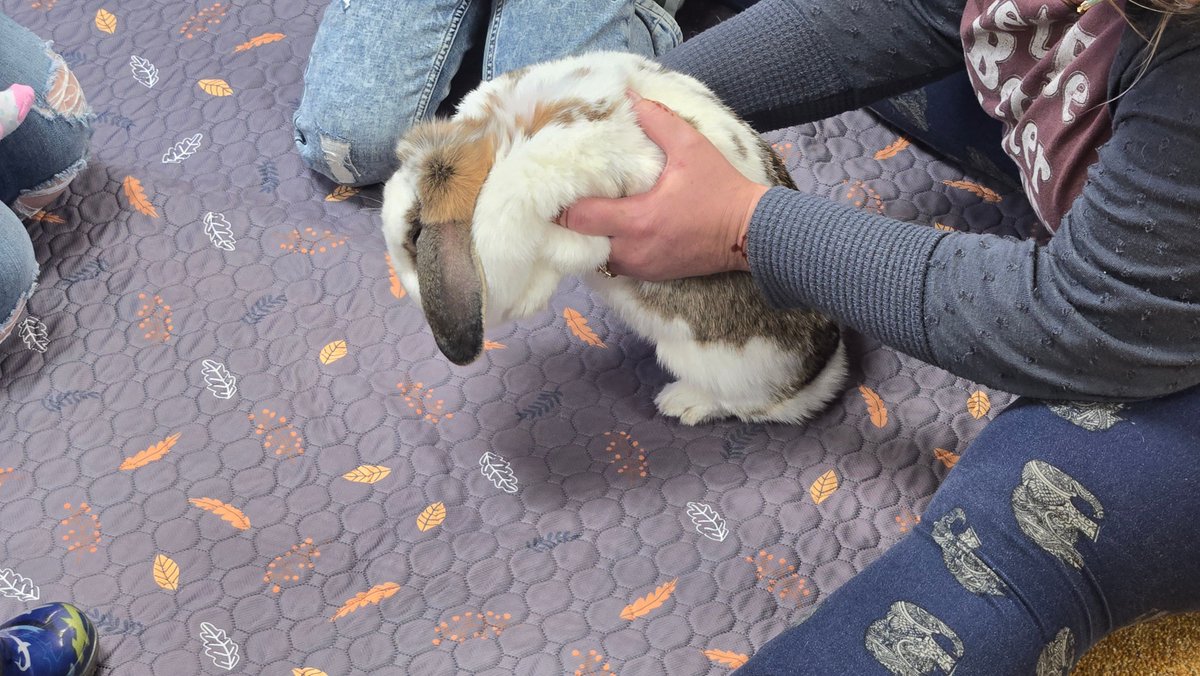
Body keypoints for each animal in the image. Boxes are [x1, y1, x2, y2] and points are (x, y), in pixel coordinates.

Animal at [381, 51, 847, 425]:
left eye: (415, 234)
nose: (411, 294)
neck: (497, 138)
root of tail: (822, 370)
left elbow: (564, 250)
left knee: (753, 406)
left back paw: (681, 403)